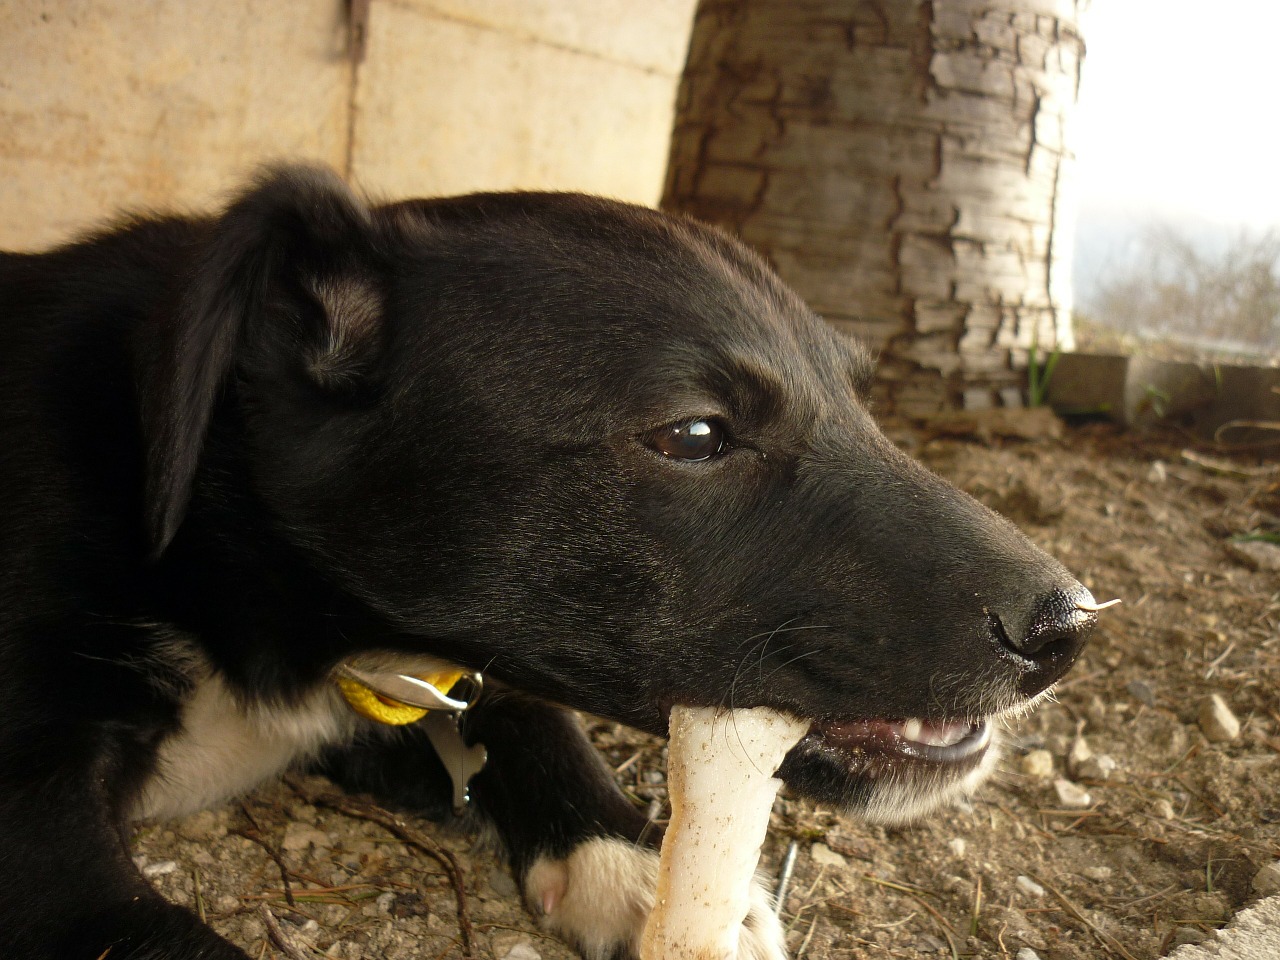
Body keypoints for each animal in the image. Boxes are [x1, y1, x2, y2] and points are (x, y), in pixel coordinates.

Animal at [0, 167, 1095, 960]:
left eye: (862, 403)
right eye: (694, 433)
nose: (1071, 625)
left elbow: (535, 723)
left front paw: (632, 861)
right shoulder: (34, 804)